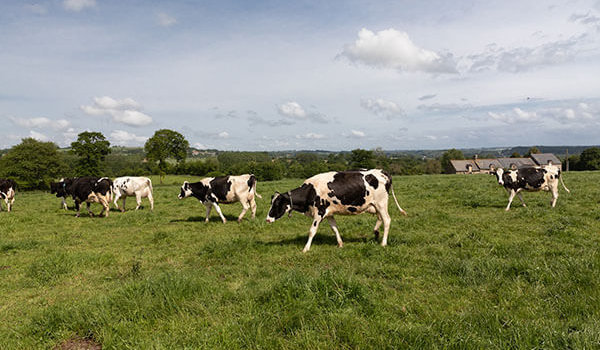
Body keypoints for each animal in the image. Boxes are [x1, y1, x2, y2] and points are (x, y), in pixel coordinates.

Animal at [266, 169, 408, 252]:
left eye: (277, 203)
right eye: (271, 202)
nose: (267, 219)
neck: (311, 191)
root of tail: (382, 171)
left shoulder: (319, 212)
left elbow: (312, 231)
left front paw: (306, 249)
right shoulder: (329, 213)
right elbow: (334, 228)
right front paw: (340, 244)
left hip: (381, 203)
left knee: (387, 220)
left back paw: (383, 243)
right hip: (375, 205)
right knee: (380, 219)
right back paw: (376, 232)